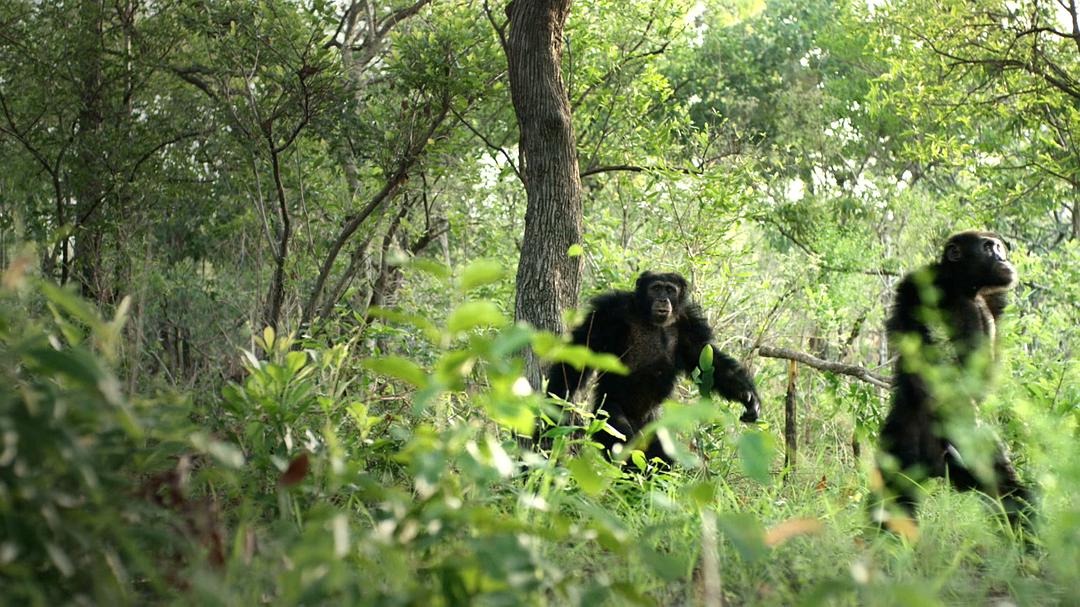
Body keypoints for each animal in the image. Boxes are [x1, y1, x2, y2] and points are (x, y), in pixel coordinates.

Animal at [540, 268, 760, 462]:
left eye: (670, 290)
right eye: (656, 288)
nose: (662, 299)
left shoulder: (691, 324)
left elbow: (708, 361)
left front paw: (749, 397)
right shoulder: (609, 312)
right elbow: (582, 349)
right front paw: (555, 401)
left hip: (654, 423)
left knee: (661, 458)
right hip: (606, 414)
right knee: (623, 443)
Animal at [872, 230, 1032, 529]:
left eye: (998, 246)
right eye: (988, 247)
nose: (1002, 257)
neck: (967, 287)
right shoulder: (919, 285)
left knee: (1009, 496)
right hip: (904, 439)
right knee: (892, 499)